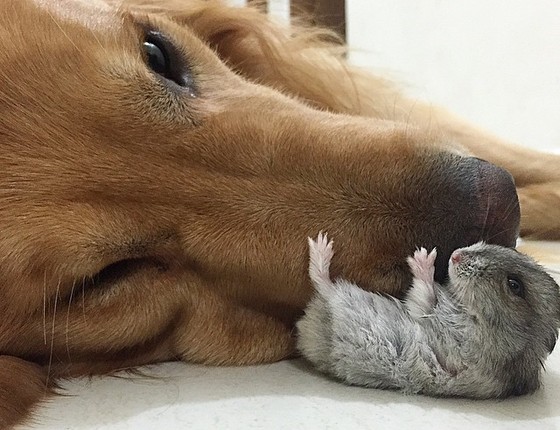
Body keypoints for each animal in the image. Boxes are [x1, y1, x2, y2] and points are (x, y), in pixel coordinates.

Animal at [296, 233, 560, 398]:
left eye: (514, 285)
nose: (455, 255)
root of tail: (306, 331)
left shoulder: (450, 335)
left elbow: (424, 297)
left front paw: (423, 257)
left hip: (342, 300)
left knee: (321, 282)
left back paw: (321, 247)